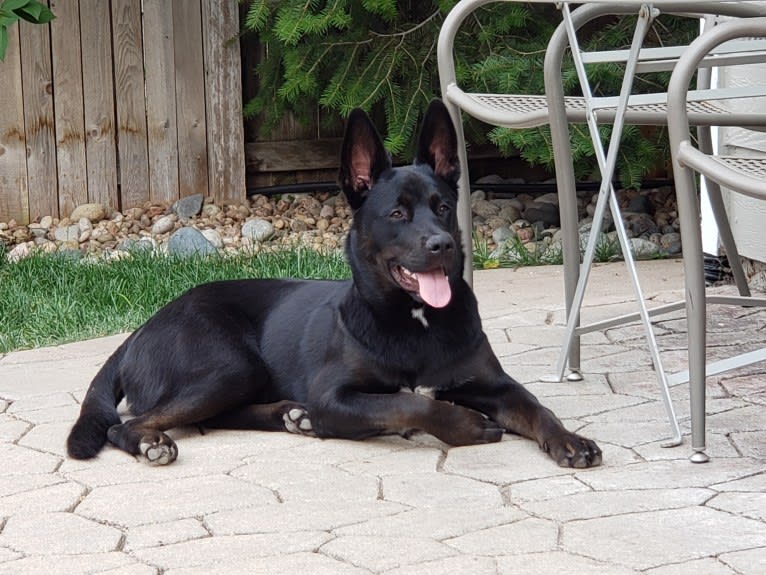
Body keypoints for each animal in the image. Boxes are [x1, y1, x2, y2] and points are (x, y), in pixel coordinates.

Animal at [66, 100, 604, 468]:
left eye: (444, 206)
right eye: (397, 214)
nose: (442, 245)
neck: (416, 322)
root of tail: (140, 329)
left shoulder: (495, 385)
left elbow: (536, 407)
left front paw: (570, 439)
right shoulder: (334, 397)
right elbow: (409, 401)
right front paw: (466, 424)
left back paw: (291, 415)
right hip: (229, 364)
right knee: (128, 424)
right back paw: (151, 442)